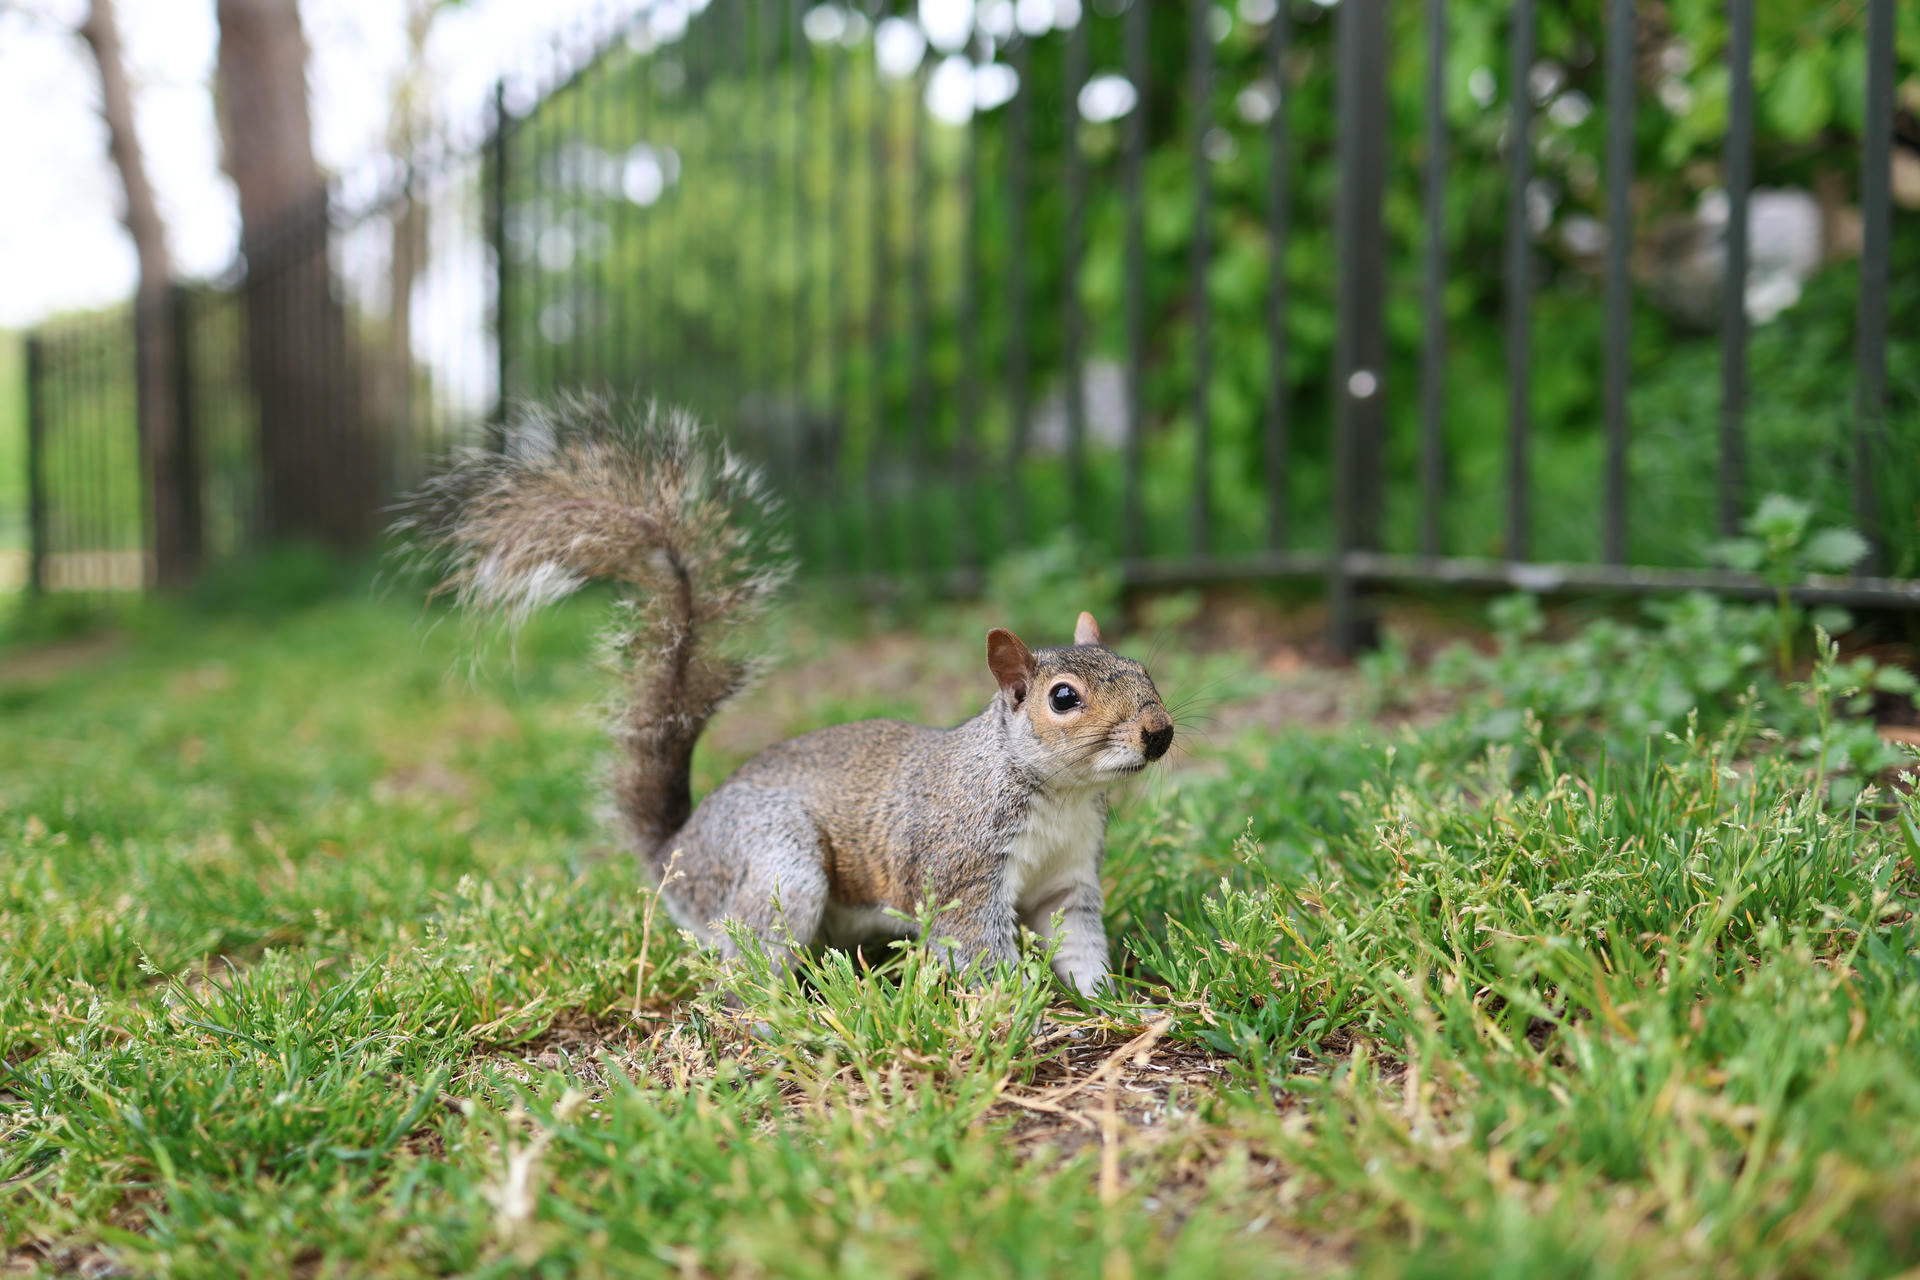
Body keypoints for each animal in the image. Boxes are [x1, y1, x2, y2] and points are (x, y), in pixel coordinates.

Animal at [397, 398, 1174, 997]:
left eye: (1143, 670)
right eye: (1063, 698)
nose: (1159, 733)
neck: (1058, 792)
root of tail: (678, 853)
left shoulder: (1068, 879)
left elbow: (1078, 941)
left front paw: (1107, 1000)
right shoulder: (963, 871)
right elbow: (978, 951)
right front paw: (1024, 1011)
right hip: (780, 864)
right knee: (746, 959)